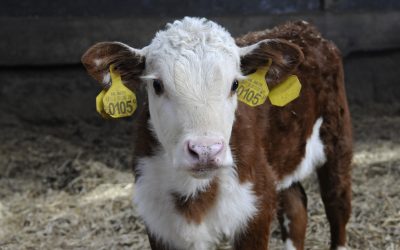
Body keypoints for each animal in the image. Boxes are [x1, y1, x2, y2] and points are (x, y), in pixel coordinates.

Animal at [82, 16, 354, 249]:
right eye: (157, 85)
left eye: (235, 84)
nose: (205, 151)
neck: (194, 194)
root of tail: (302, 28)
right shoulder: (158, 223)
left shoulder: (255, 208)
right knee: (295, 207)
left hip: (337, 137)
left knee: (337, 204)